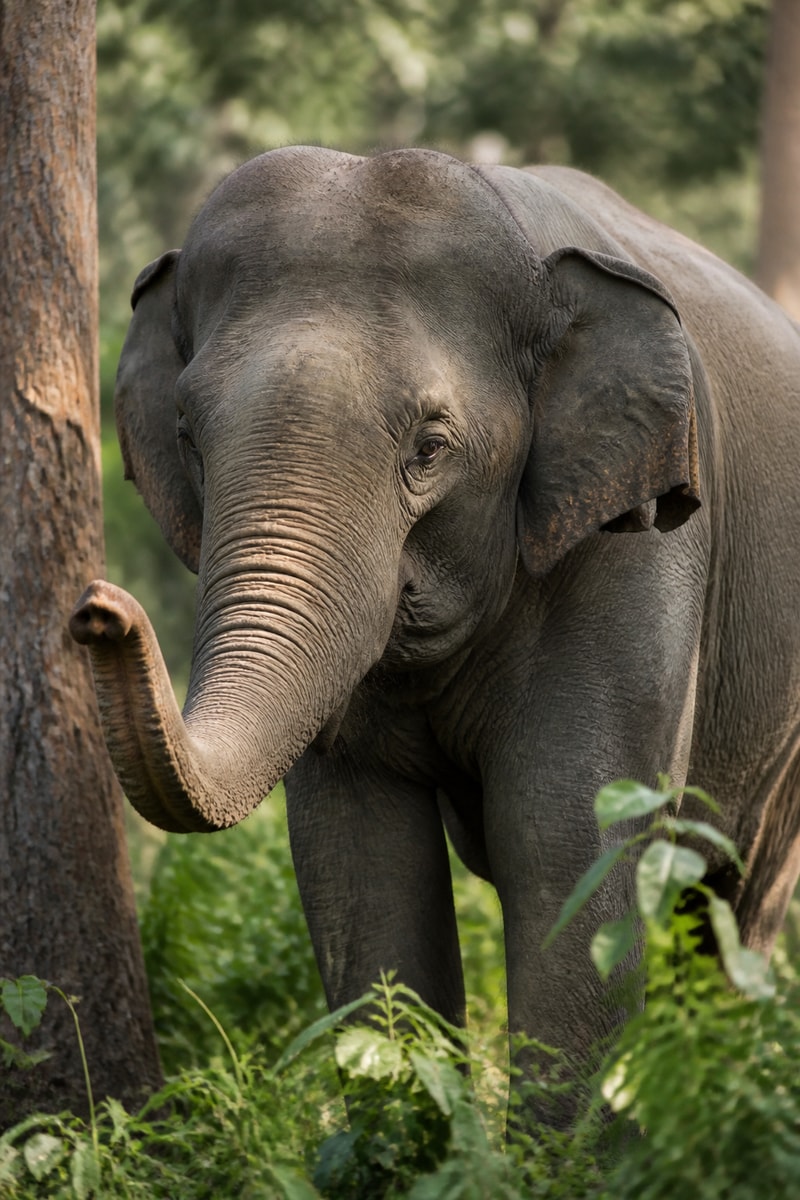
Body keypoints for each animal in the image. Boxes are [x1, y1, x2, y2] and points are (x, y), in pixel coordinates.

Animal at [71, 145, 800, 1126]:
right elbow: (364, 858)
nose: (97, 608)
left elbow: (566, 840)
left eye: (429, 447)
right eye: (187, 434)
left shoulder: (642, 548)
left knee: (729, 902)